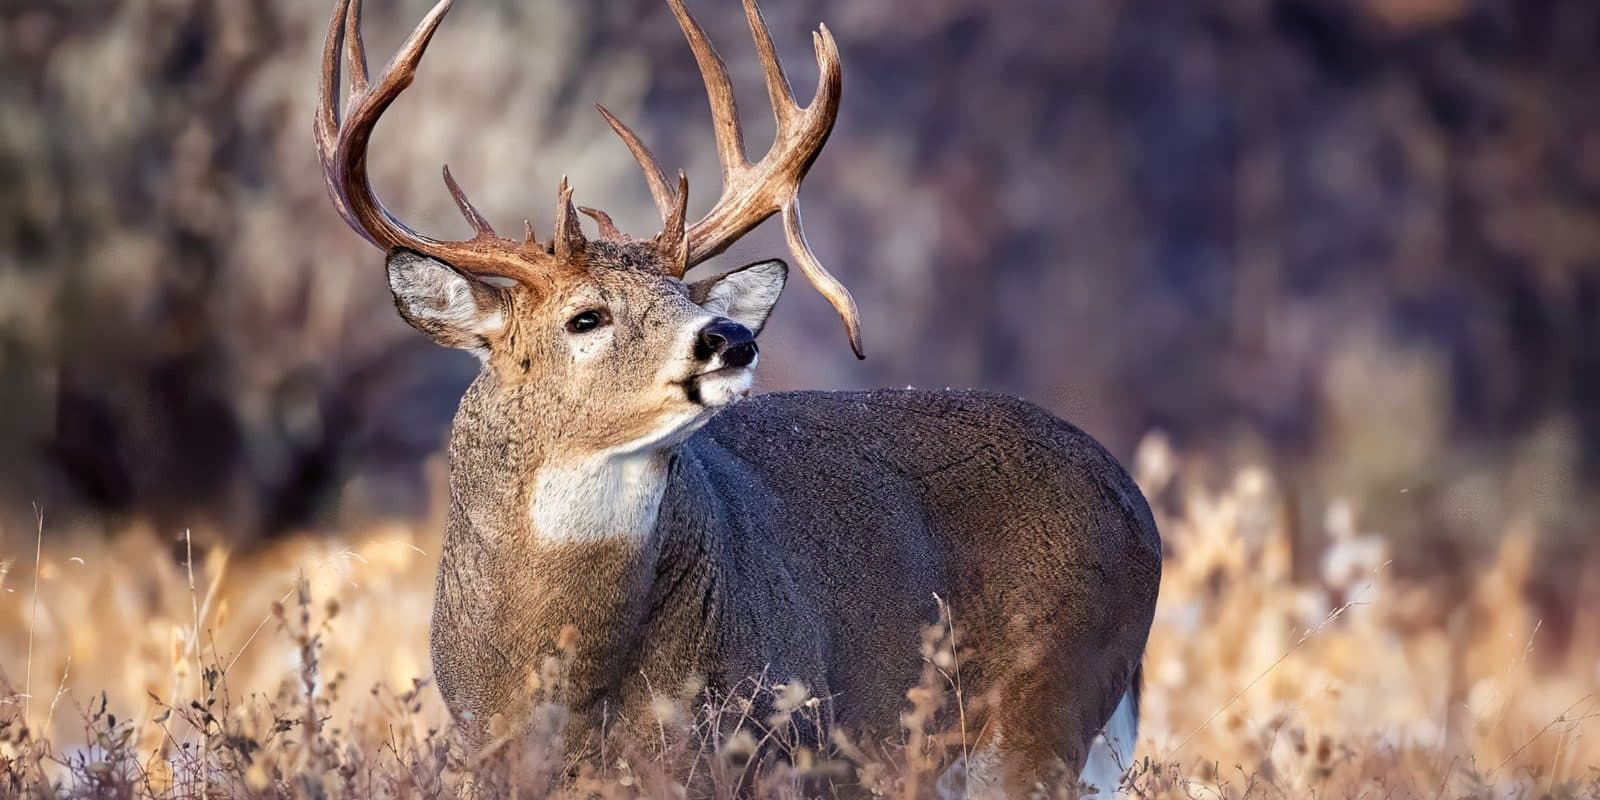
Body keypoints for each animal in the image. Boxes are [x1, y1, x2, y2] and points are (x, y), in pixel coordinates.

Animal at [314, 0, 1161, 793]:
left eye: (681, 294)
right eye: (586, 316)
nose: (730, 337)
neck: (560, 677)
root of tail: (1135, 501)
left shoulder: (762, 739)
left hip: (1044, 704)